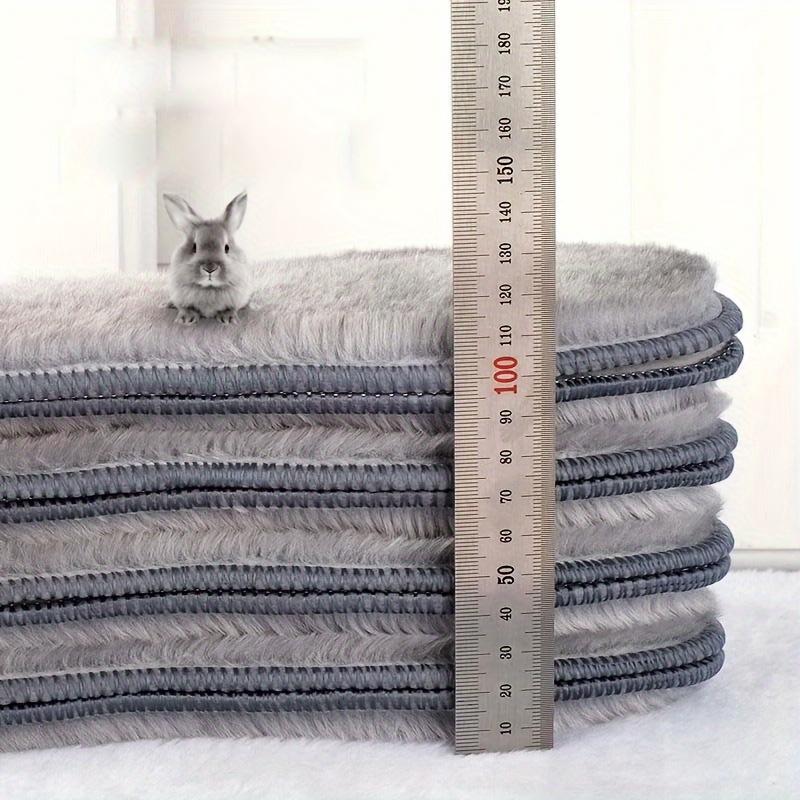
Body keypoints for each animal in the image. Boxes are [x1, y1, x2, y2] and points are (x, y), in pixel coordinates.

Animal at [163, 191, 252, 324]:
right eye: (194, 247)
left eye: (227, 248)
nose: (210, 268)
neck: (209, 288)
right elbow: (185, 307)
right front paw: (186, 319)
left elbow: (231, 308)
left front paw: (228, 319)